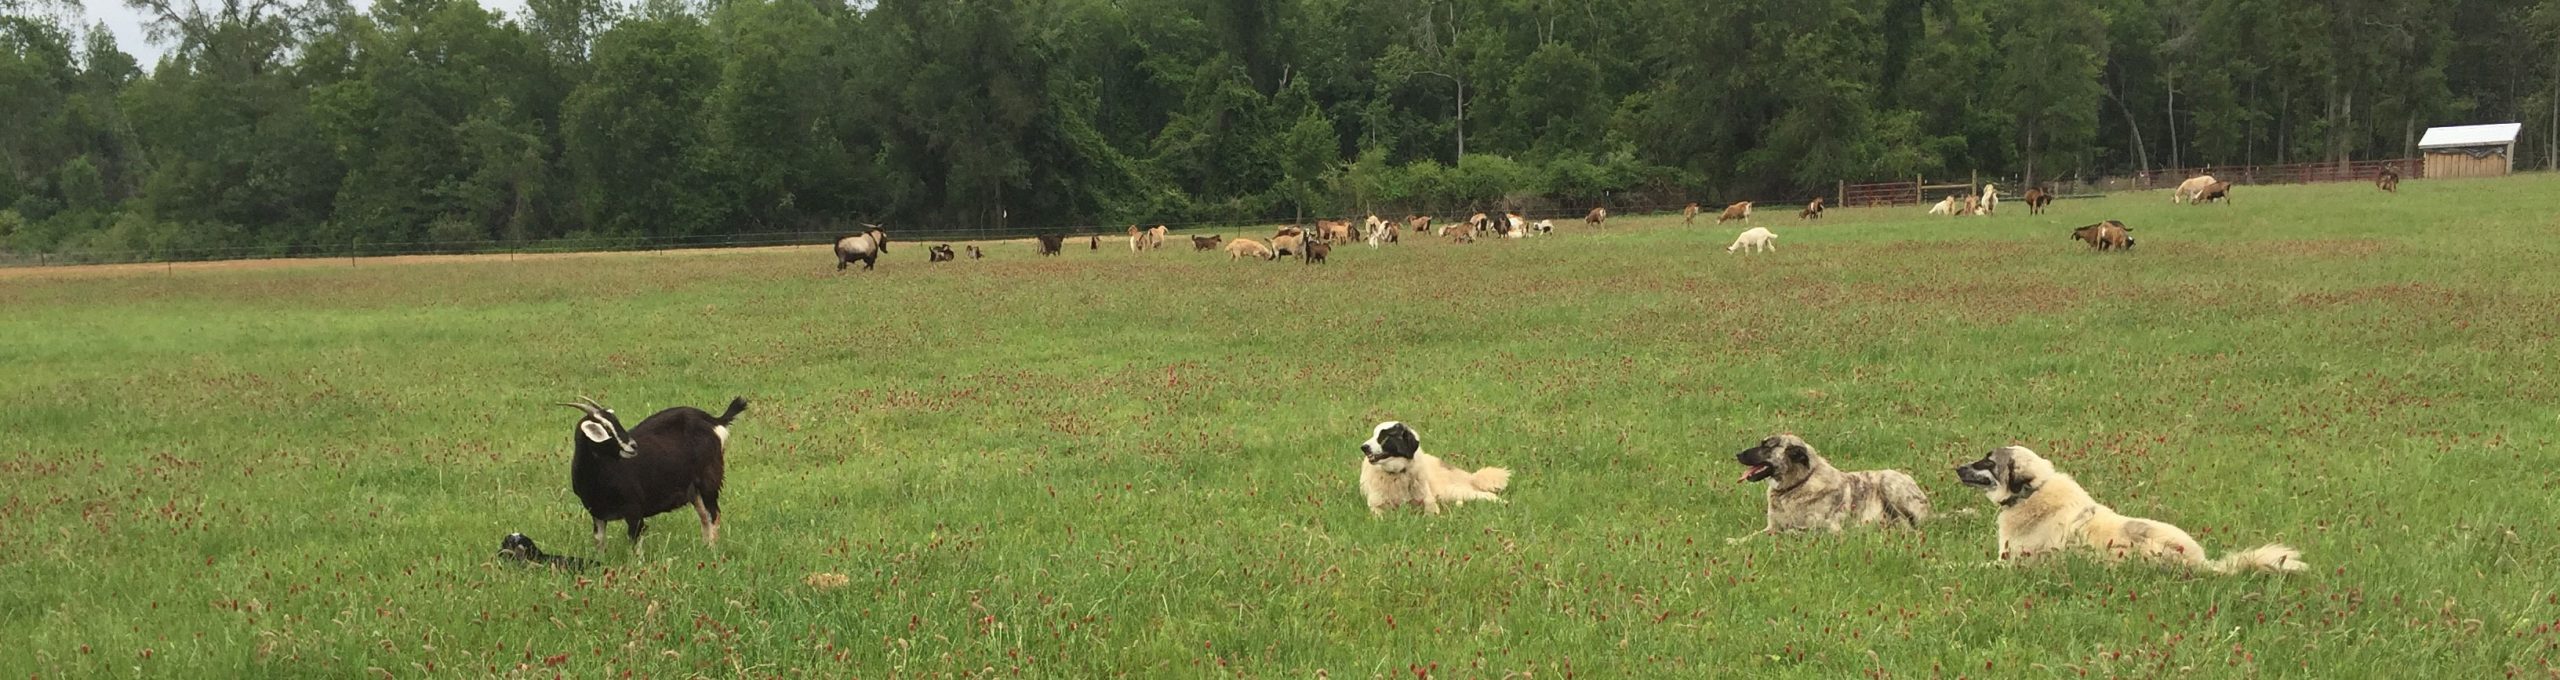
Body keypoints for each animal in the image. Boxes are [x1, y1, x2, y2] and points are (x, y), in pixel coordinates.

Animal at [563, 396, 747, 554]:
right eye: (607, 428)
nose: (633, 445)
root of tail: (714, 421)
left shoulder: (634, 509)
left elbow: (635, 540)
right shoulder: (597, 512)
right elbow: (599, 540)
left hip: (709, 479)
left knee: (714, 514)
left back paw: (712, 550)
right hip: (693, 490)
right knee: (704, 516)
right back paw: (704, 547)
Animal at [1361, 419, 1515, 516]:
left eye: (1384, 436)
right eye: (1374, 435)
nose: (1363, 447)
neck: (1398, 473)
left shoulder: (1428, 501)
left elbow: (1431, 512)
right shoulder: (1375, 506)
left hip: (1450, 491)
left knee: (1486, 494)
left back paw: (1504, 503)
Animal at [1730, 434, 1925, 541]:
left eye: (1766, 446)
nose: (1737, 454)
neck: (1798, 484)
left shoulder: (1828, 529)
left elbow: (1791, 531)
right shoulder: (1771, 527)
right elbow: (1753, 535)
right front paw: (1735, 541)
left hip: (1888, 483)